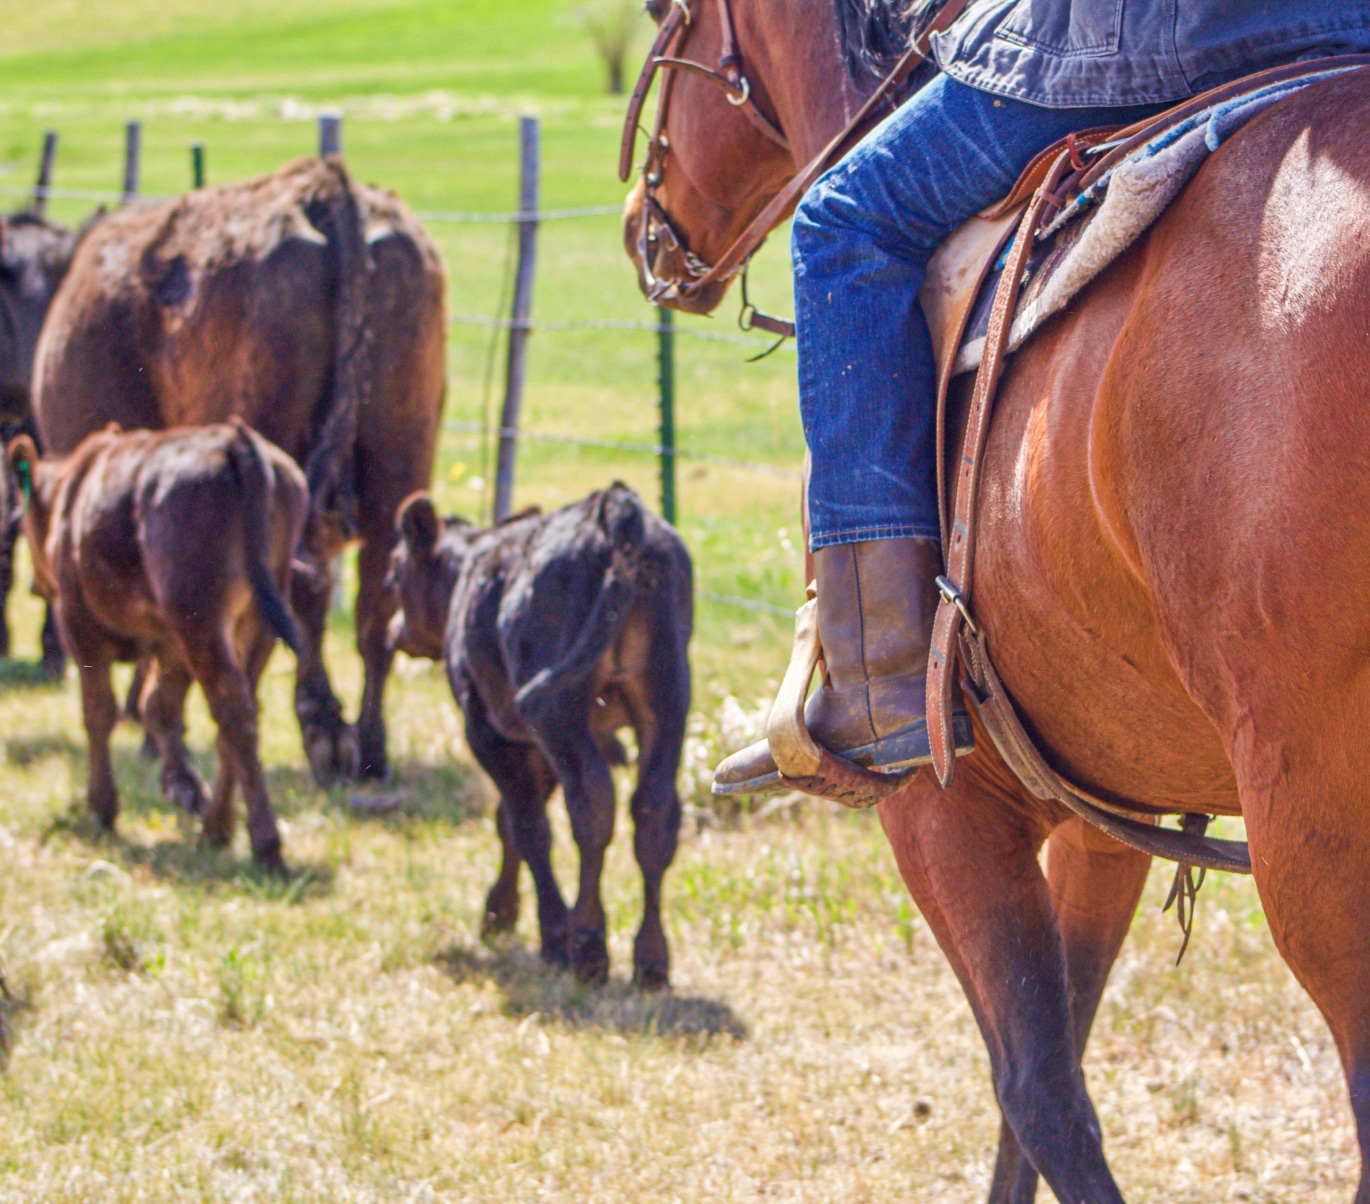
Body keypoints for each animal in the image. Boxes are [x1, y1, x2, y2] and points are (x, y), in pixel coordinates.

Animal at [8, 419, 308, 871]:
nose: (34, 584)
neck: (71, 496)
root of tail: (234, 439)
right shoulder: (169, 643)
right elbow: (160, 707)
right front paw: (184, 785)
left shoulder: (81, 630)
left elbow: (99, 712)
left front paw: (102, 808)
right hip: (252, 624)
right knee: (240, 713)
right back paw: (216, 826)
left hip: (199, 618)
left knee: (233, 709)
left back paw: (264, 841)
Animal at [29, 155, 443, 788]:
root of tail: (325, 189)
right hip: (401, 456)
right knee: (375, 599)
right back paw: (369, 747)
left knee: (302, 591)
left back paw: (323, 736)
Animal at [386, 479, 690, 986]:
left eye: (393, 573)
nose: (394, 630)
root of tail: (617, 509)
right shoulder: (538, 743)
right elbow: (509, 819)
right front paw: (501, 909)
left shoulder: (490, 730)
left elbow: (525, 824)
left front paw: (550, 930)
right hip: (666, 695)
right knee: (654, 809)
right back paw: (651, 958)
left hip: (555, 710)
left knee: (591, 804)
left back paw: (586, 944)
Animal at [627, 4, 1370, 1199]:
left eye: (665, 23)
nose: (641, 230)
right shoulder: (1107, 812)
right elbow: (1056, 1052)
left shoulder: (943, 807)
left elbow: (1037, 1089)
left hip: (1316, 840)